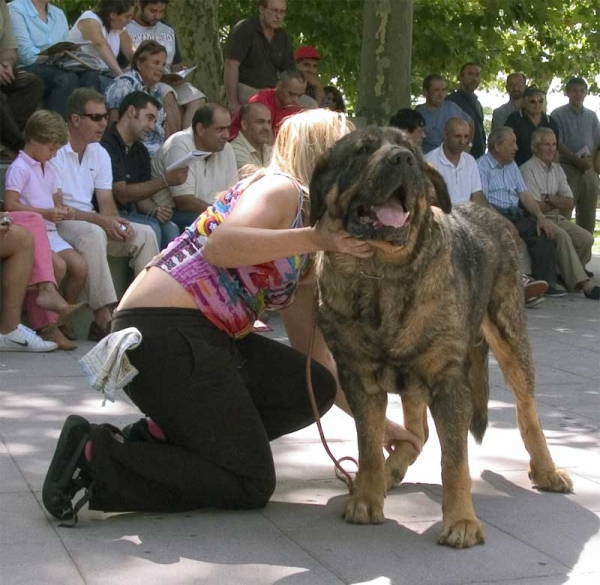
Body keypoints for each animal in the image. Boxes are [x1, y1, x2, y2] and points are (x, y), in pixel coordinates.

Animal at [310, 126, 572, 548]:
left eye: (412, 154)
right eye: (362, 150)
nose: (401, 159)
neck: (383, 272)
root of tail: (490, 213)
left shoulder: (447, 380)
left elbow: (455, 460)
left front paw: (461, 520)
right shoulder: (359, 378)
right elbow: (368, 445)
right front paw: (367, 497)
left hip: (509, 336)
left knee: (527, 411)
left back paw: (547, 471)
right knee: (416, 431)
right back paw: (391, 470)